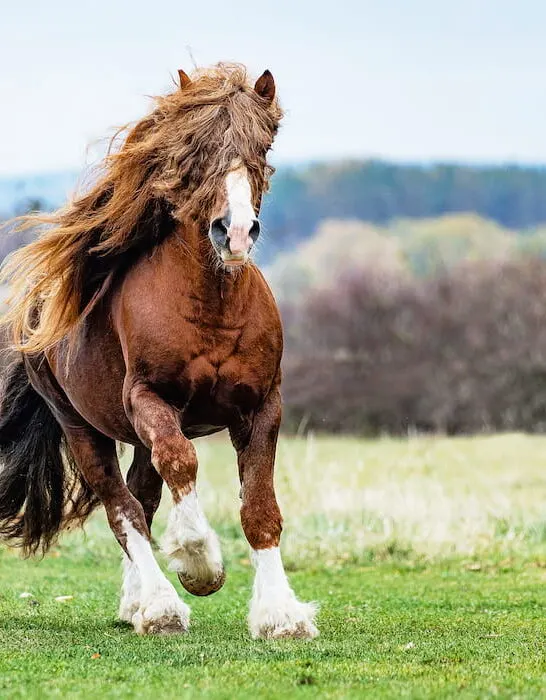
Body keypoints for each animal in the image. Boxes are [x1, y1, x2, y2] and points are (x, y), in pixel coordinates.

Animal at [0, 63, 318, 639]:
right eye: (196, 149)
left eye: (262, 147)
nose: (235, 232)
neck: (212, 307)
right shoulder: (149, 399)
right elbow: (182, 461)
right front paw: (199, 565)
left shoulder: (262, 407)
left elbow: (260, 508)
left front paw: (281, 615)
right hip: (82, 426)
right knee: (121, 506)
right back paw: (161, 607)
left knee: (141, 499)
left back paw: (136, 603)